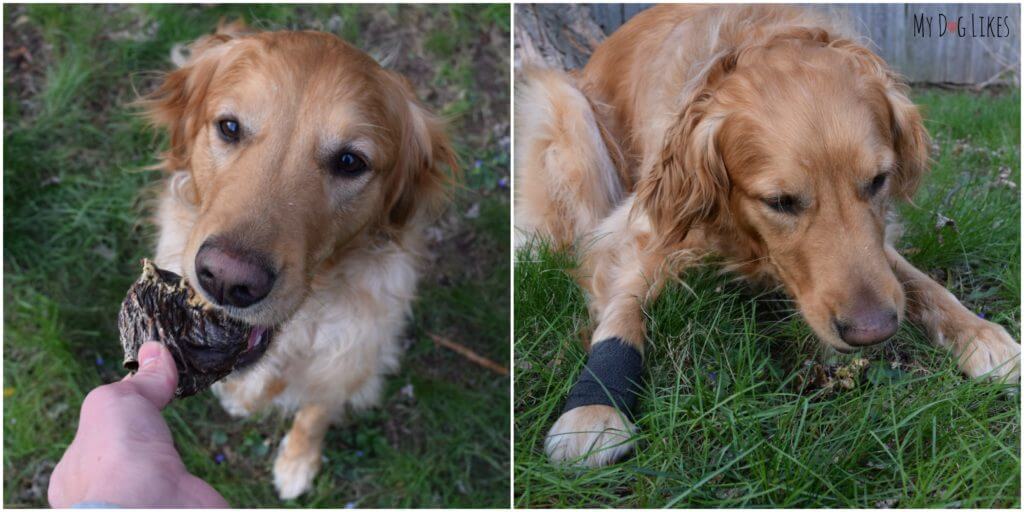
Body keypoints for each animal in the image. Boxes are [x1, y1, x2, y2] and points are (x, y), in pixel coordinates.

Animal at [143, 22, 456, 497]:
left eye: (350, 161)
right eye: (229, 127)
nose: (227, 279)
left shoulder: (350, 359)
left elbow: (316, 412)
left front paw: (297, 462)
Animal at [516, 4, 1019, 468]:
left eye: (879, 180)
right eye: (780, 201)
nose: (873, 332)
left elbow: (918, 282)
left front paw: (981, 333)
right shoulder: (640, 224)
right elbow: (623, 312)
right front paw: (593, 408)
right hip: (568, 111)